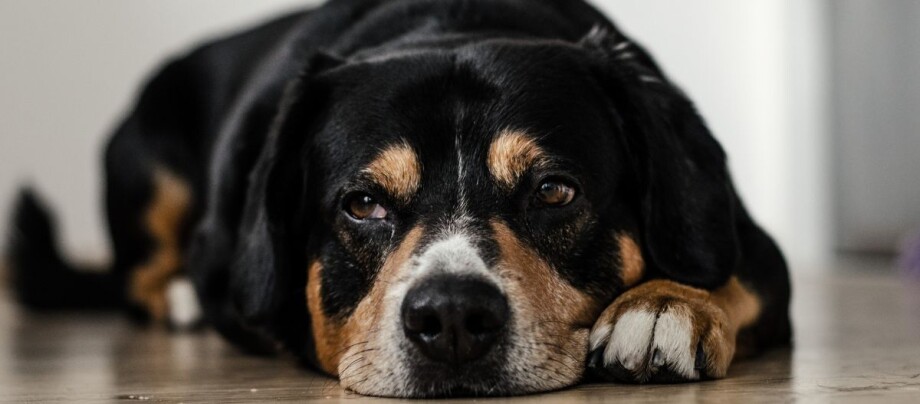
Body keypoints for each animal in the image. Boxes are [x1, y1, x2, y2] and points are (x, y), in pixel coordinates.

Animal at [3, 0, 792, 398]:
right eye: (362, 204)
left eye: (553, 191)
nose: (452, 318)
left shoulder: (752, 245)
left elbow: (728, 273)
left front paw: (661, 307)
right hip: (146, 164)